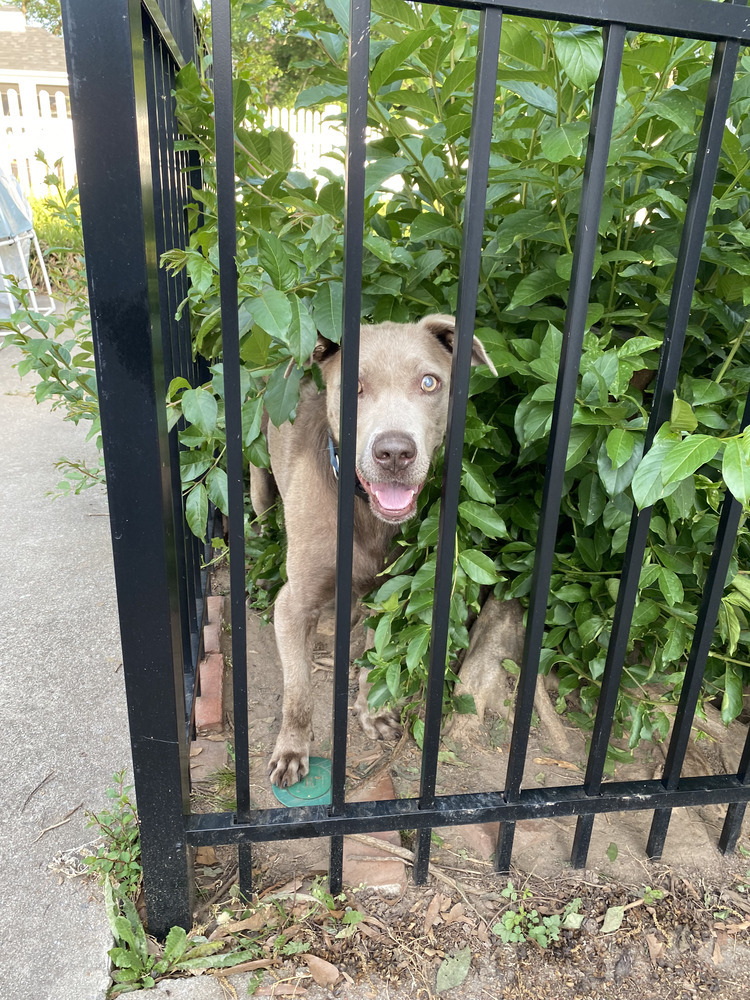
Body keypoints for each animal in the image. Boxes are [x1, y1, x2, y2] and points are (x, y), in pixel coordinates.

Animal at [251, 314, 500, 788]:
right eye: (354, 387)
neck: (361, 510)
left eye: (429, 382)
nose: (395, 452)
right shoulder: (293, 606)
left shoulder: (383, 596)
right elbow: (298, 691)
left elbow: (374, 659)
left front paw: (371, 713)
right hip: (259, 484)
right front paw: (292, 749)